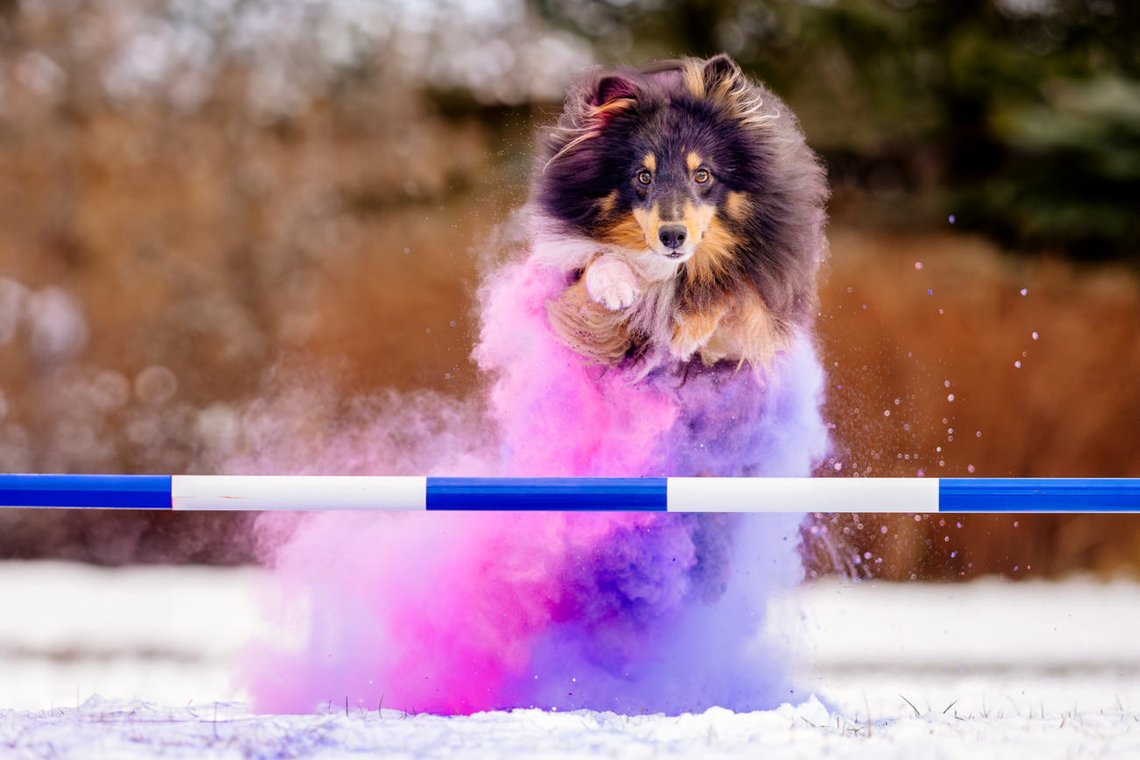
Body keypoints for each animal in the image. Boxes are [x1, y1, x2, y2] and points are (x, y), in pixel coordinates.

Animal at [533, 53, 829, 371]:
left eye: (702, 175)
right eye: (643, 176)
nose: (672, 236)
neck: (674, 269)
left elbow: (738, 289)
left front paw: (689, 331)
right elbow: (596, 258)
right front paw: (616, 291)